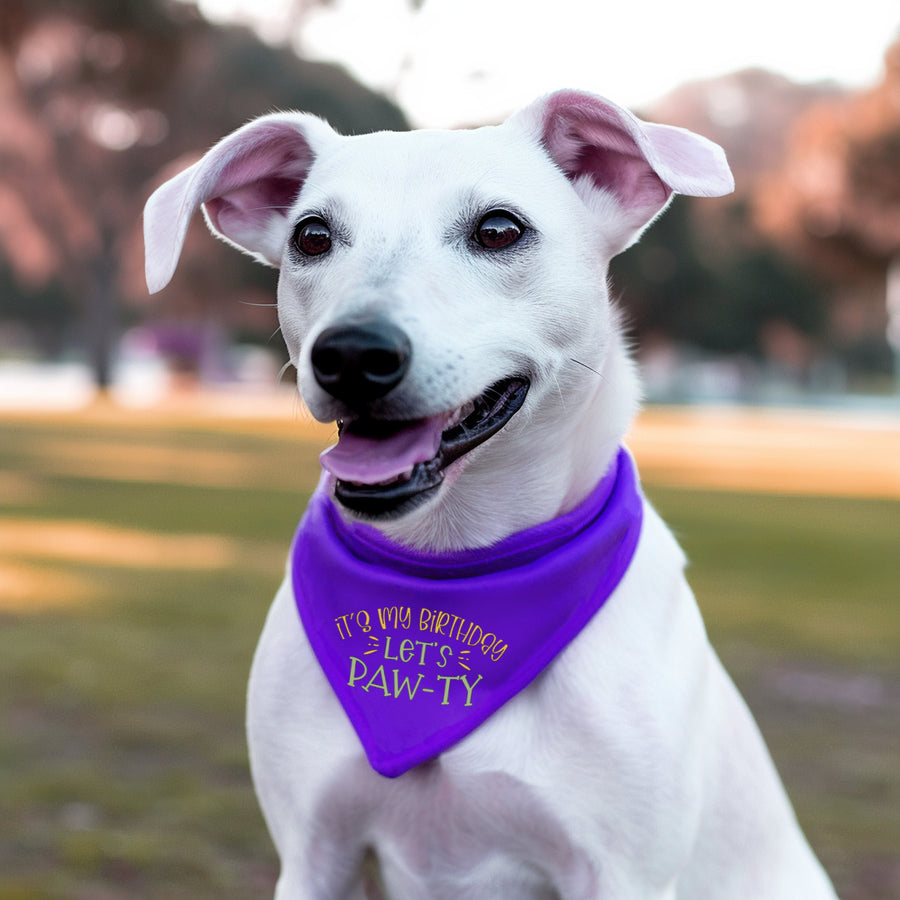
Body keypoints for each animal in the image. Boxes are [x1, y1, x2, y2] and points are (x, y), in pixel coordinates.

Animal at [142, 91, 836, 900]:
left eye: (499, 230)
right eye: (311, 236)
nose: (351, 354)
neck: (454, 568)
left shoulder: (622, 873)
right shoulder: (314, 854)